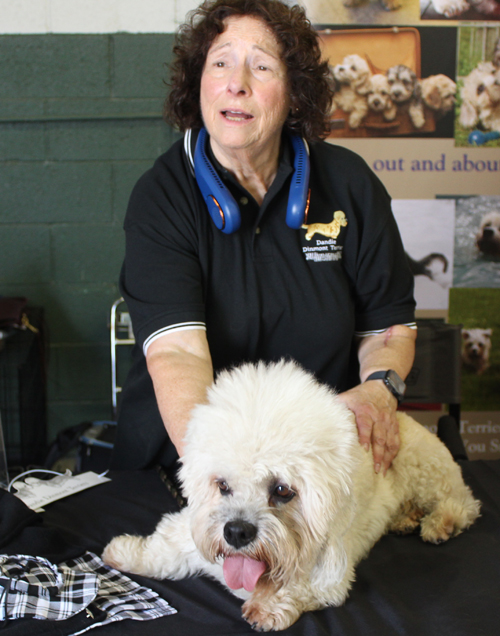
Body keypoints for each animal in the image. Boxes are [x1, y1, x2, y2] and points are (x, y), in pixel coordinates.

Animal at [103, 362, 482, 632]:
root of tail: (403, 417)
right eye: (222, 485)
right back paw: (405, 519)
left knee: (463, 503)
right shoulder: (191, 531)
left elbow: (295, 585)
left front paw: (268, 606)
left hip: (428, 472)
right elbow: (163, 548)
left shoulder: (330, 577)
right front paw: (126, 553)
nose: (236, 532)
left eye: (282, 490)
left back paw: (440, 523)